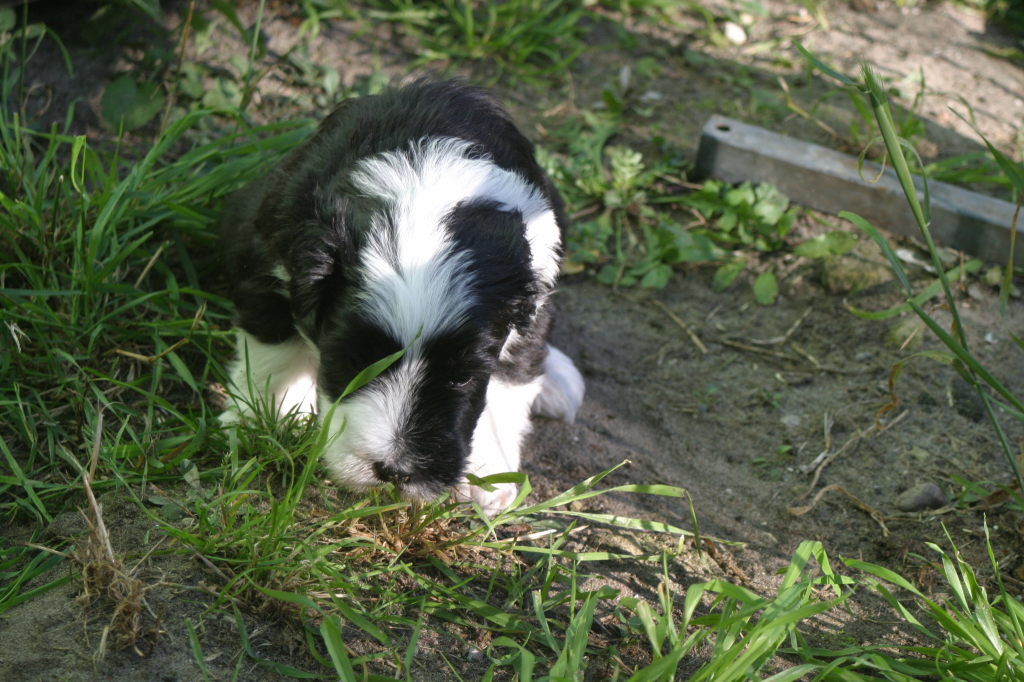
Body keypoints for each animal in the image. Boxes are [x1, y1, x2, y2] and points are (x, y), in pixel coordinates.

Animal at [222, 79, 585, 512]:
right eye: (357, 360)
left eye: (462, 376)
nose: (395, 472)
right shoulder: (269, 257)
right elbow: (274, 350)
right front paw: (267, 420)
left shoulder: (533, 291)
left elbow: (508, 379)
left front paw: (489, 473)